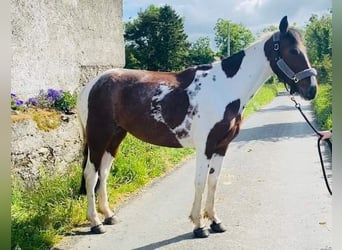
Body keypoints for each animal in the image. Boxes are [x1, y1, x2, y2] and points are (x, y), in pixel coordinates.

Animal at [77, 16, 318, 237]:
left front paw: (215, 221)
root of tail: (92, 84)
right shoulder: (206, 146)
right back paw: (95, 222)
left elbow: (213, 181)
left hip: (115, 137)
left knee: (103, 172)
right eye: (293, 51)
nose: (312, 89)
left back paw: (109, 215)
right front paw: (199, 225)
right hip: (99, 137)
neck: (224, 87)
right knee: (91, 174)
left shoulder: (221, 146)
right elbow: (200, 182)